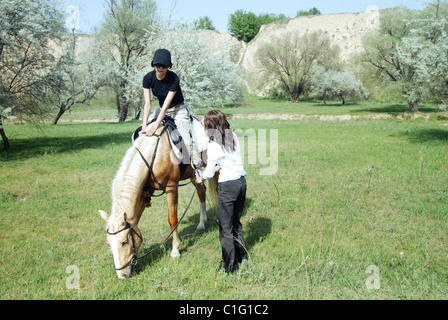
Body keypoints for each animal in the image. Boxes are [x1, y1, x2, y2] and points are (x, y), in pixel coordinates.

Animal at [99, 121, 218, 278]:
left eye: (124, 241)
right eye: (109, 243)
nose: (122, 275)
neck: (154, 155)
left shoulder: (171, 188)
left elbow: (172, 218)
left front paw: (175, 250)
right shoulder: (144, 192)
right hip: (194, 174)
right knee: (201, 192)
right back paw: (202, 223)